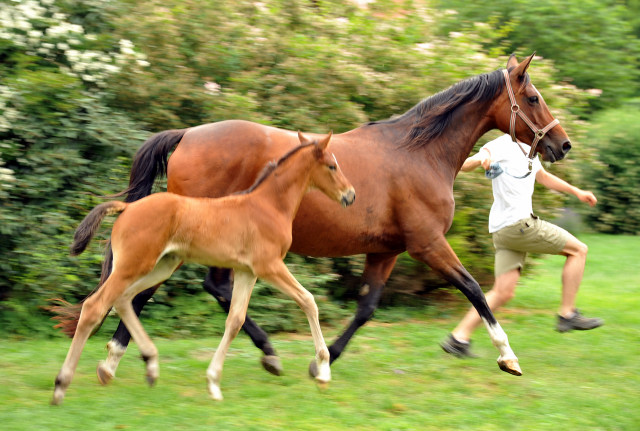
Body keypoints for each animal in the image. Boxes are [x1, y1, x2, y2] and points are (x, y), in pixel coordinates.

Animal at [51, 132, 356, 404]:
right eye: (332, 165)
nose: (350, 195)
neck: (268, 205)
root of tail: (127, 208)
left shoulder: (247, 272)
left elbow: (235, 321)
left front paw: (213, 383)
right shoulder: (269, 266)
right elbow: (308, 300)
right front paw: (323, 372)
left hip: (161, 266)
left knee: (123, 300)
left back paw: (150, 366)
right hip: (134, 265)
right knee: (95, 306)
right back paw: (61, 385)